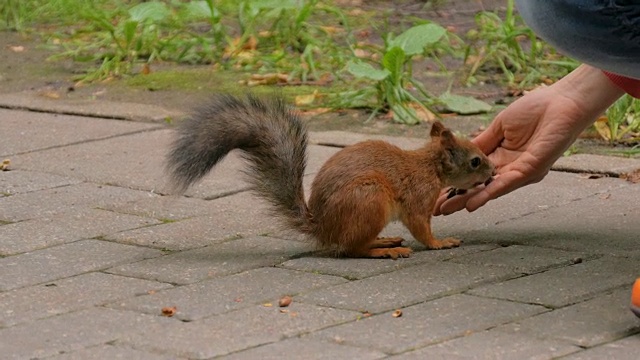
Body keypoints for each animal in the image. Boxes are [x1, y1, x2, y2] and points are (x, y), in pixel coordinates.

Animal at [166, 94, 496, 258]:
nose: (494, 171)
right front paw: (440, 243)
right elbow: (420, 228)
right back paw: (385, 251)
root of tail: (323, 228)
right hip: (370, 198)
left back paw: (384, 240)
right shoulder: (418, 199)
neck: (430, 166)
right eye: (475, 161)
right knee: (352, 249)